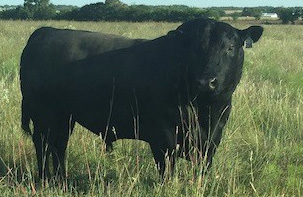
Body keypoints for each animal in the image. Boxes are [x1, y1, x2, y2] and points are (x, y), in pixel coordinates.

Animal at [20, 18, 264, 179]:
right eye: (193, 49)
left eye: (230, 47)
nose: (206, 82)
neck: (202, 110)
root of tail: (45, 31)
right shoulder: (163, 136)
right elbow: (167, 169)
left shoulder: (212, 138)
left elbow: (202, 168)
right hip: (43, 115)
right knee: (43, 145)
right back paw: (45, 179)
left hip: (64, 117)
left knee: (58, 145)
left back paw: (61, 179)